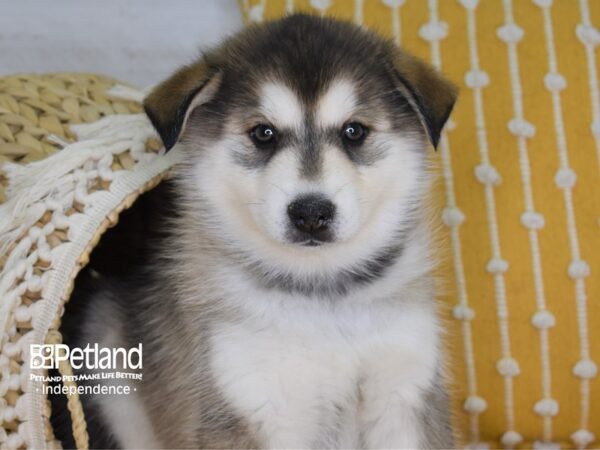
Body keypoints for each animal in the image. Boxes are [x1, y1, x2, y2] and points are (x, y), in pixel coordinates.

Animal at [65, 12, 458, 448]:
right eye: (263, 133)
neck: (321, 296)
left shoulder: (404, 389)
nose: (310, 212)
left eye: (354, 131)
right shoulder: (251, 396)